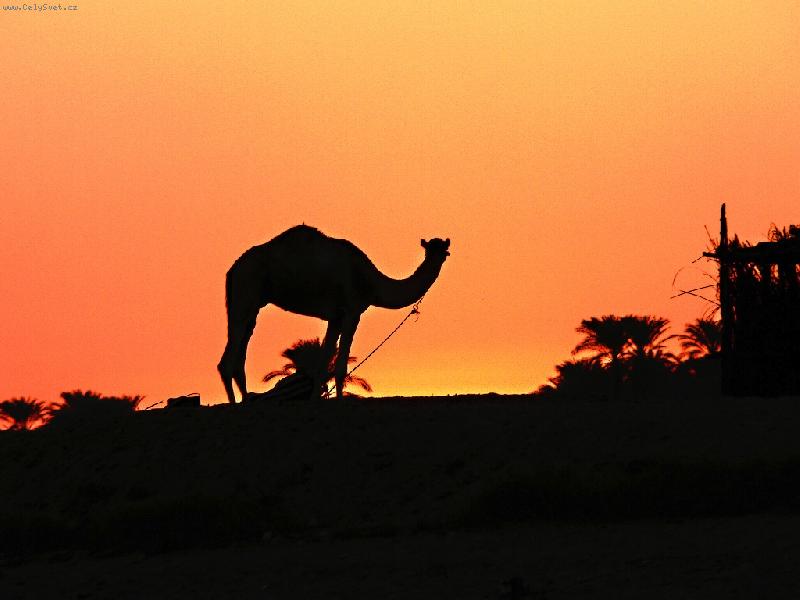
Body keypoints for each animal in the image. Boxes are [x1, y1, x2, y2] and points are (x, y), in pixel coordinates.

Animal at [218, 225, 450, 402]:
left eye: (444, 250)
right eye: (433, 249)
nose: (440, 256)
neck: (370, 281)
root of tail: (233, 269)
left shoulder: (335, 317)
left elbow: (324, 360)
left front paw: (314, 399)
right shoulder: (352, 312)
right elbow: (340, 364)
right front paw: (338, 400)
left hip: (252, 304)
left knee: (241, 349)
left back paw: (246, 400)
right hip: (245, 291)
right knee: (228, 356)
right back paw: (234, 403)